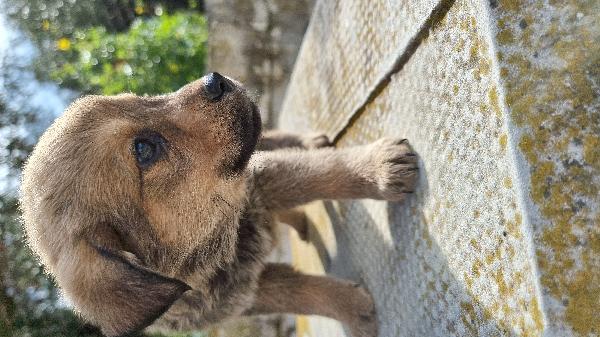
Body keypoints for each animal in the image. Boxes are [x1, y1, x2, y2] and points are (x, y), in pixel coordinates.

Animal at [22, 73, 418, 336]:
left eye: (139, 99)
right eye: (143, 149)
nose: (214, 79)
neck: (219, 234)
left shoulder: (261, 180)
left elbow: (325, 173)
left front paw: (379, 167)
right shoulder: (242, 294)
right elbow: (307, 293)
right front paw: (356, 313)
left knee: (279, 141)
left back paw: (310, 143)